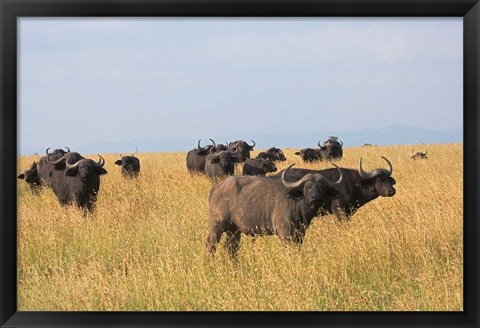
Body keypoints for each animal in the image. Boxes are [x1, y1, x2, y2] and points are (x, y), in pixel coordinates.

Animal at [208, 163, 344, 256]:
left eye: (322, 188)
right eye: (307, 187)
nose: (315, 198)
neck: (297, 205)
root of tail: (216, 188)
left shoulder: (300, 234)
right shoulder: (285, 234)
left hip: (234, 230)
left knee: (231, 248)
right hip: (217, 225)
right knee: (211, 244)